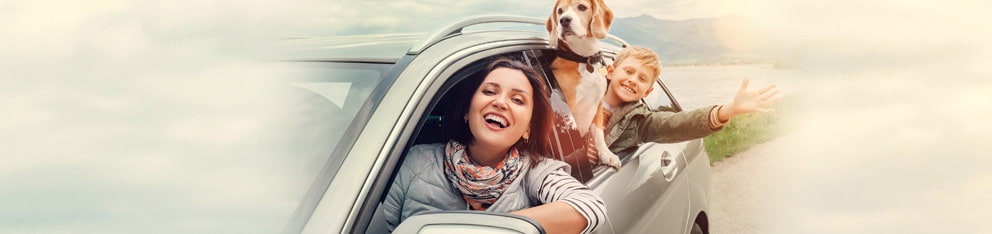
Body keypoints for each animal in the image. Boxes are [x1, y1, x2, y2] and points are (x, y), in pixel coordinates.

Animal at [544, 0, 620, 168]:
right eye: (560, 11)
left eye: (582, 7)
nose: (564, 20)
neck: (585, 60)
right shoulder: (569, 108)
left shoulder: (598, 104)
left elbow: (598, 134)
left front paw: (607, 154)